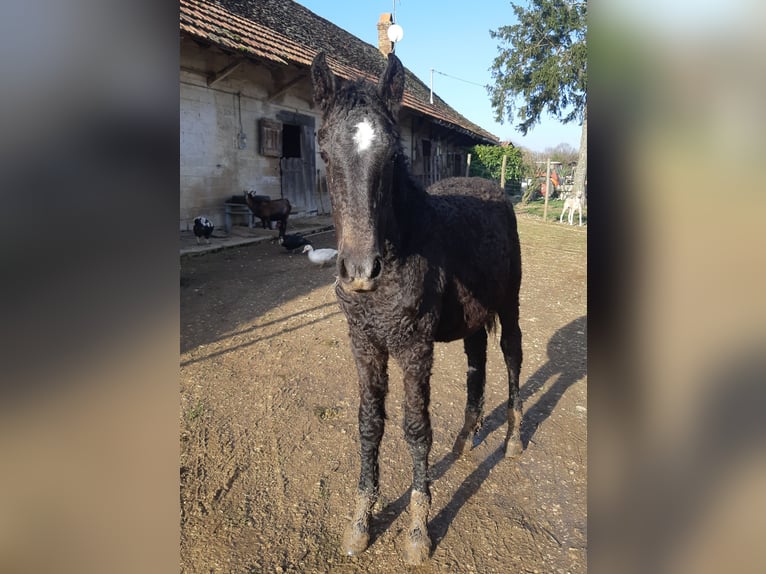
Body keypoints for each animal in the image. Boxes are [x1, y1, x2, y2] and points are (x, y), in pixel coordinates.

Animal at [311, 52, 523, 565]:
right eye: (324, 152)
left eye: (391, 156)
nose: (360, 270)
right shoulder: (365, 342)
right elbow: (370, 424)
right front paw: (360, 523)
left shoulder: (414, 347)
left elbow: (415, 428)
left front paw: (417, 531)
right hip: (472, 319)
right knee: (476, 365)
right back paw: (466, 439)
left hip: (509, 304)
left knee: (511, 357)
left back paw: (512, 439)